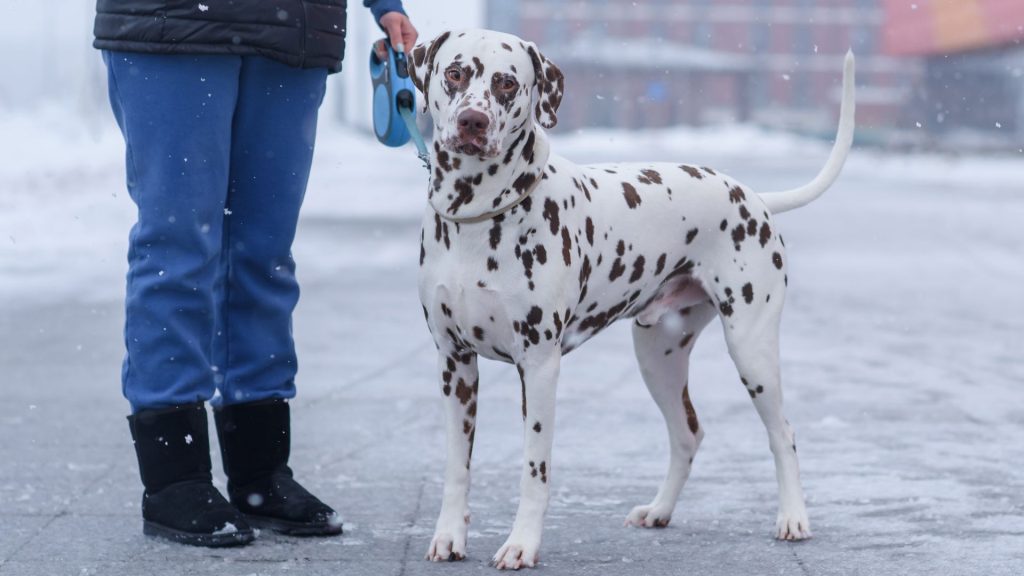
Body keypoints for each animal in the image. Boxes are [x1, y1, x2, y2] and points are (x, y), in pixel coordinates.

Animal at [407, 29, 856, 565]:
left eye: (506, 83)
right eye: (455, 73)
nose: (472, 121)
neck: (478, 215)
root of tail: (755, 197)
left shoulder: (538, 366)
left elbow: (534, 470)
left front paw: (521, 545)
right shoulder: (455, 364)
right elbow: (457, 466)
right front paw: (449, 535)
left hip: (753, 351)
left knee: (782, 434)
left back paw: (793, 518)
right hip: (658, 356)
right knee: (687, 433)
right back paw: (659, 510)